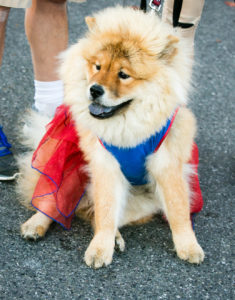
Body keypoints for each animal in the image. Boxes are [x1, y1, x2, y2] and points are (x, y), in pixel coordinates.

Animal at [17, 6, 204, 268]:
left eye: (123, 74)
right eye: (97, 66)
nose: (95, 90)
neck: (126, 128)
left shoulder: (167, 163)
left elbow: (178, 210)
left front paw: (188, 245)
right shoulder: (104, 164)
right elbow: (105, 210)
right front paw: (99, 249)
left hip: (143, 201)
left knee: (91, 213)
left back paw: (115, 237)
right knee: (55, 201)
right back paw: (36, 224)